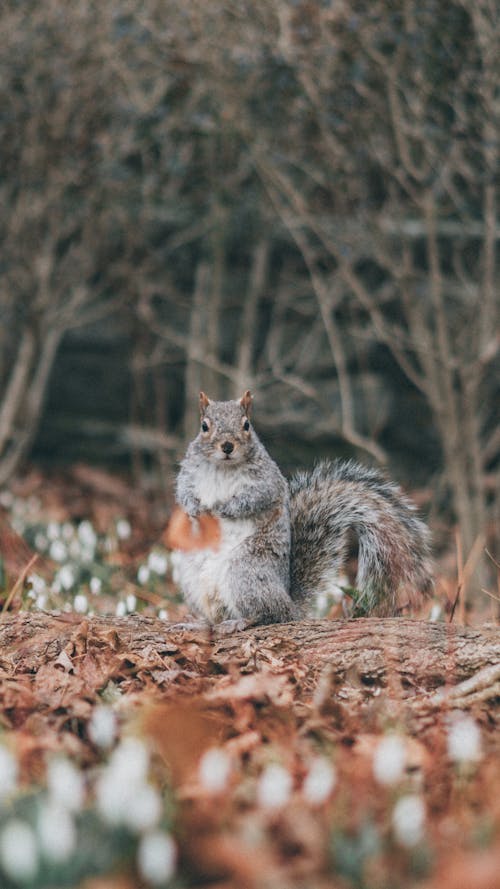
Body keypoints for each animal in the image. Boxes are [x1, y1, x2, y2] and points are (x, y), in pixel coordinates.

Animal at [171, 390, 430, 632]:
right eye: (204, 426)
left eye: (246, 425)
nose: (227, 446)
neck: (222, 467)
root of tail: (290, 604)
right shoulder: (188, 474)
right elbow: (183, 492)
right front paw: (195, 509)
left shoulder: (267, 482)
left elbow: (253, 499)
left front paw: (221, 508)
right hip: (192, 580)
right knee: (216, 618)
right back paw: (198, 624)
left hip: (246, 572)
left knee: (269, 615)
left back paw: (241, 621)